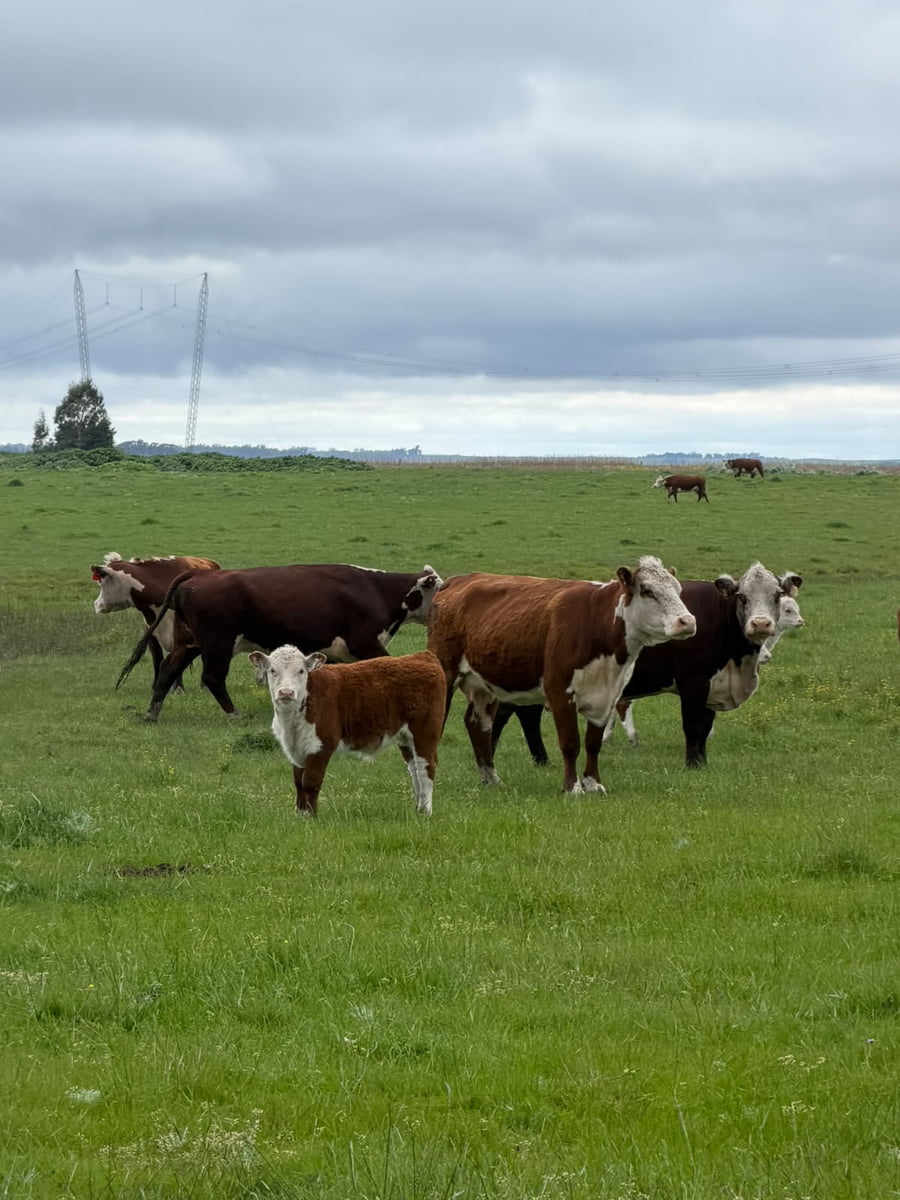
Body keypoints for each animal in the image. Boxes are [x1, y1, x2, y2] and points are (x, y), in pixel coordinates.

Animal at [91, 553, 221, 691]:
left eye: (101, 583)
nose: (96, 605)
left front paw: (178, 688)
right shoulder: (151, 632)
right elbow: (157, 658)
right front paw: (156, 685)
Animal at [117, 563, 443, 723]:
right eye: (441, 588)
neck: (378, 590)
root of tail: (197, 574)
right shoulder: (367, 644)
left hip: (189, 643)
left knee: (167, 671)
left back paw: (152, 713)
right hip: (218, 645)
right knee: (212, 678)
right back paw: (234, 715)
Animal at [249, 646, 445, 817]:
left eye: (301, 671)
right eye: (272, 670)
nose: (286, 692)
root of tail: (422, 656)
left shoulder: (322, 744)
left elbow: (310, 782)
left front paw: (311, 817)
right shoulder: (297, 748)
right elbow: (299, 782)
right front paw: (301, 815)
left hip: (425, 732)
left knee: (425, 767)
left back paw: (426, 811)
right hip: (405, 737)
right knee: (413, 768)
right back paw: (418, 809)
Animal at [426, 556, 696, 795]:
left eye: (678, 590)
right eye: (647, 591)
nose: (687, 621)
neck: (596, 624)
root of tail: (458, 580)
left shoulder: (608, 696)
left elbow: (593, 743)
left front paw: (593, 784)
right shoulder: (560, 692)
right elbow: (570, 743)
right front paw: (572, 787)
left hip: (485, 684)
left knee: (478, 724)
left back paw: (491, 778)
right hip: (445, 672)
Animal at [491, 563, 801, 771]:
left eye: (776, 595)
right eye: (742, 597)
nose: (760, 624)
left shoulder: (713, 684)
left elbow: (705, 727)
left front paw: (702, 762)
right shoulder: (694, 681)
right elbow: (694, 726)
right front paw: (692, 765)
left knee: (523, 716)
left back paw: (537, 760)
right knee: (514, 715)